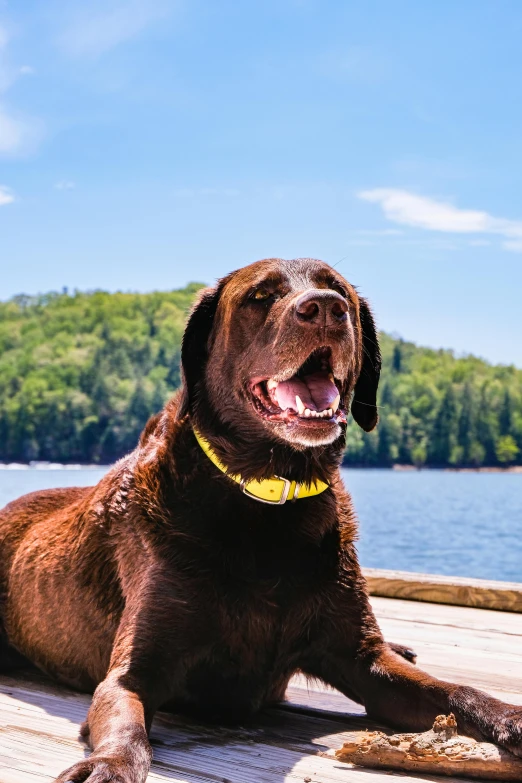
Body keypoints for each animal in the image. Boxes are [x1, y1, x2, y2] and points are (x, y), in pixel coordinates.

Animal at [0, 258, 516, 783]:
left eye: (339, 293)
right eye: (260, 296)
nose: (325, 308)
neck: (271, 501)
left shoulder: (363, 661)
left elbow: (454, 692)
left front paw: (508, 716)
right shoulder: (132, 674)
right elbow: (126, 721)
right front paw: (108, 764)